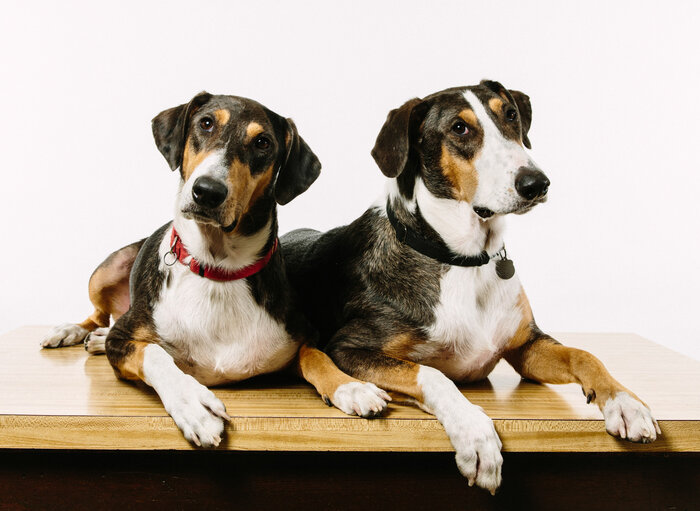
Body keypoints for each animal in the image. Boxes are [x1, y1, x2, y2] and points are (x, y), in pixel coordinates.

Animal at [41, 93, 392, 448]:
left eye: (263, 142)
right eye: (206, 123)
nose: (208, 191)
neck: (218, 269)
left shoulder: (303, 334)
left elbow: (318, 356)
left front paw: (350, 386)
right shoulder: (124, 337)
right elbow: (155, 354)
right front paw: (194, 405)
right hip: (106, 270)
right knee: (99, 316)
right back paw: (71, 331)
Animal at [282, 81, 660, 496]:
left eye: (510, 114)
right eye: (459, 129)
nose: (536, 183)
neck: (464, 260)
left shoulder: (526, 346)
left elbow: (584, 355)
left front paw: (626, 403)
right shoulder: (350, 346)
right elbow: (432, 374)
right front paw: (476, 436)